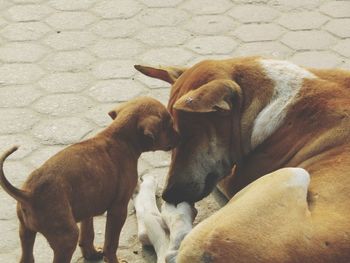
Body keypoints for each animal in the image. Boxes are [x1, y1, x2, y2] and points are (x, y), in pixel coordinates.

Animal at [0, 97, 179, 263]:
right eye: (170, 123)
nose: (179, 135)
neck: (120, 138)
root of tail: (28, 193)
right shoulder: (118, 209)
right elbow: (110, 244)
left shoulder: (88, 205)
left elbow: (88, 233)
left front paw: (91, 254)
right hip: (67, 237)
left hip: (26, 232)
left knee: (27, 257)